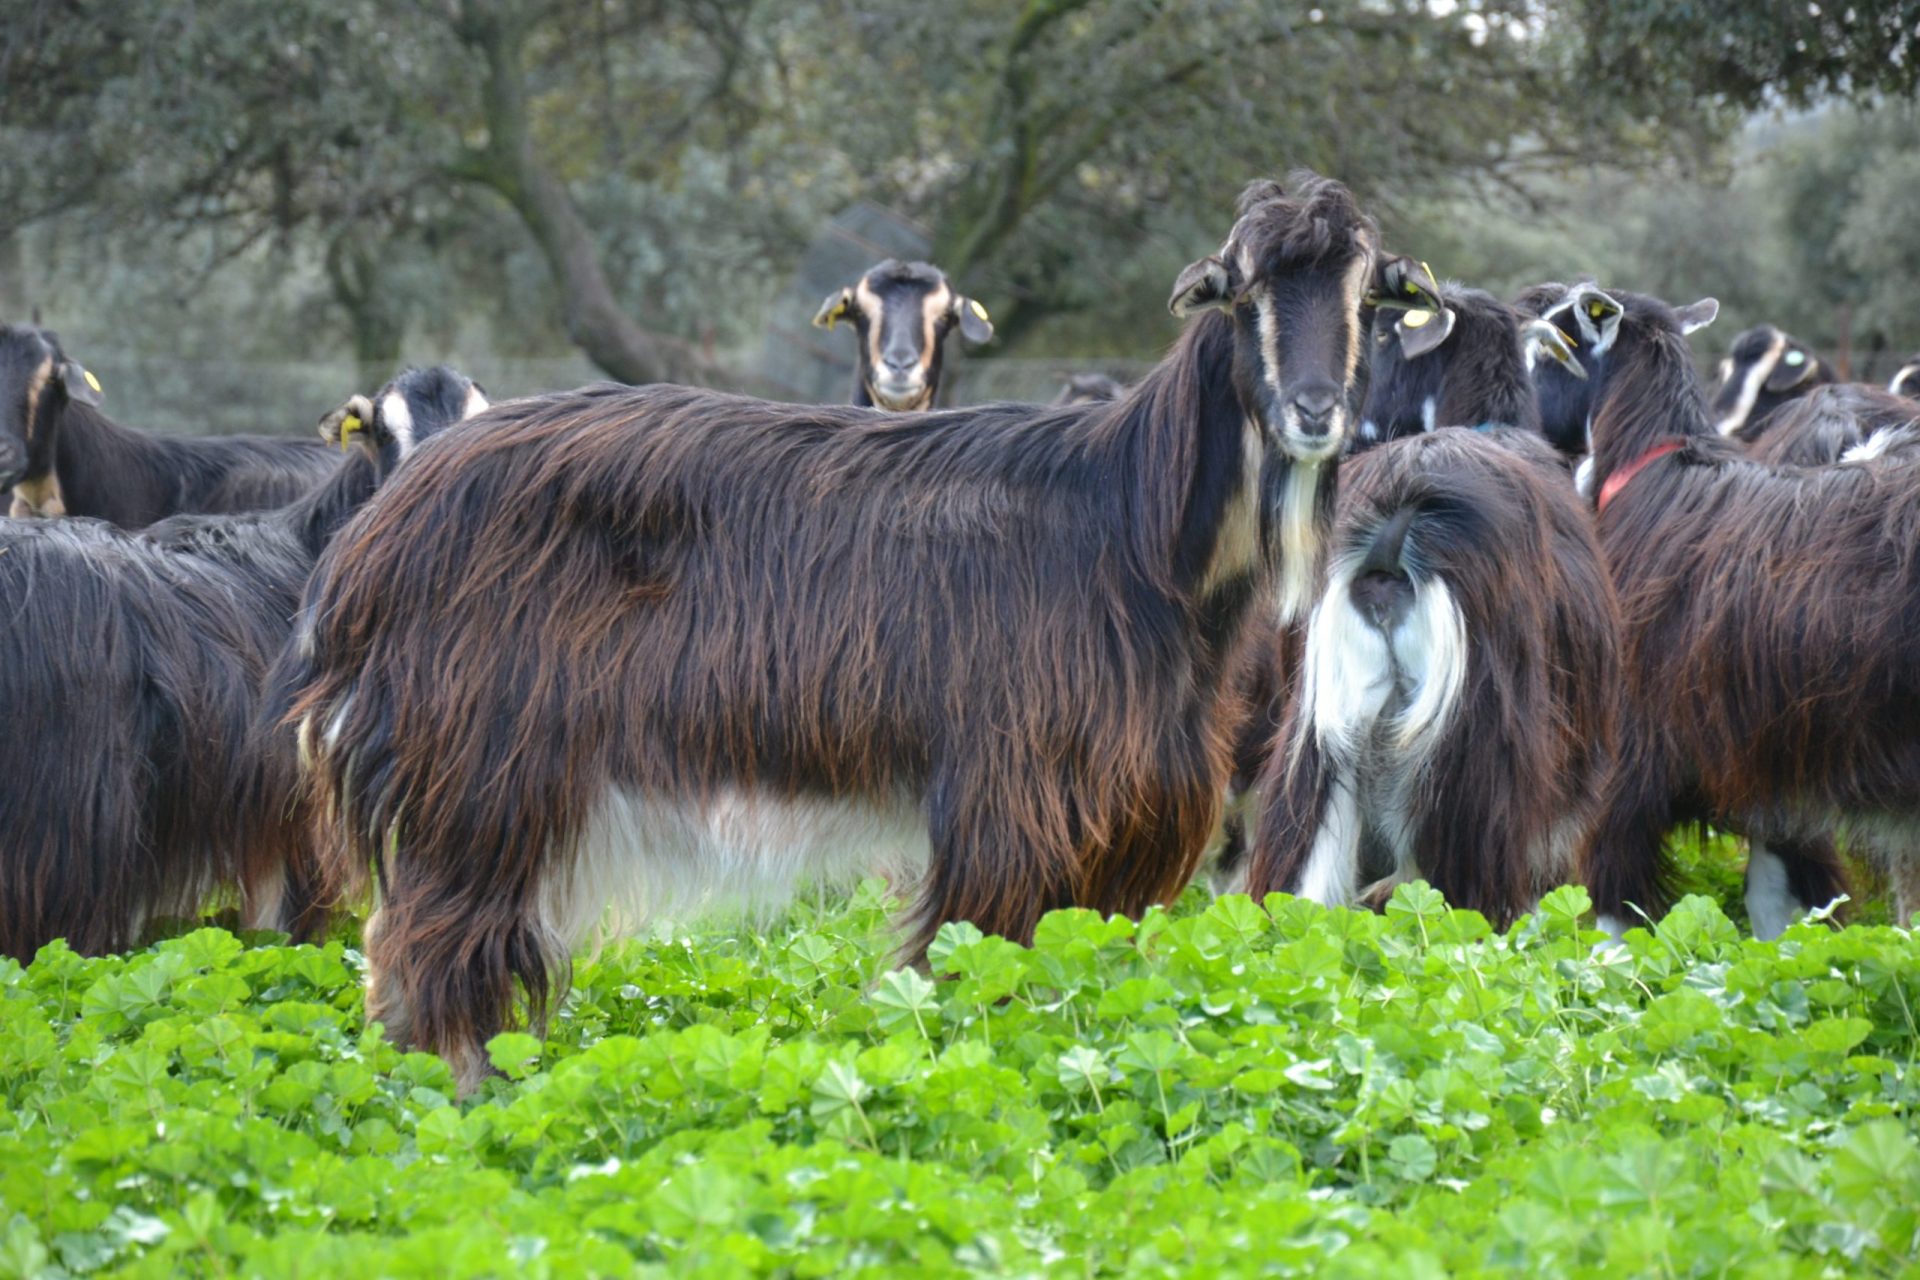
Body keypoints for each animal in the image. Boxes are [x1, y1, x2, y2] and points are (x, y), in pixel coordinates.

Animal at [1543, 283, 1920, 939]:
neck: (1648, 478)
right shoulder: (1766, 766)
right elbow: (1772, 904)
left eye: (1549, 339)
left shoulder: (1632, 750)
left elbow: (1613, 911)